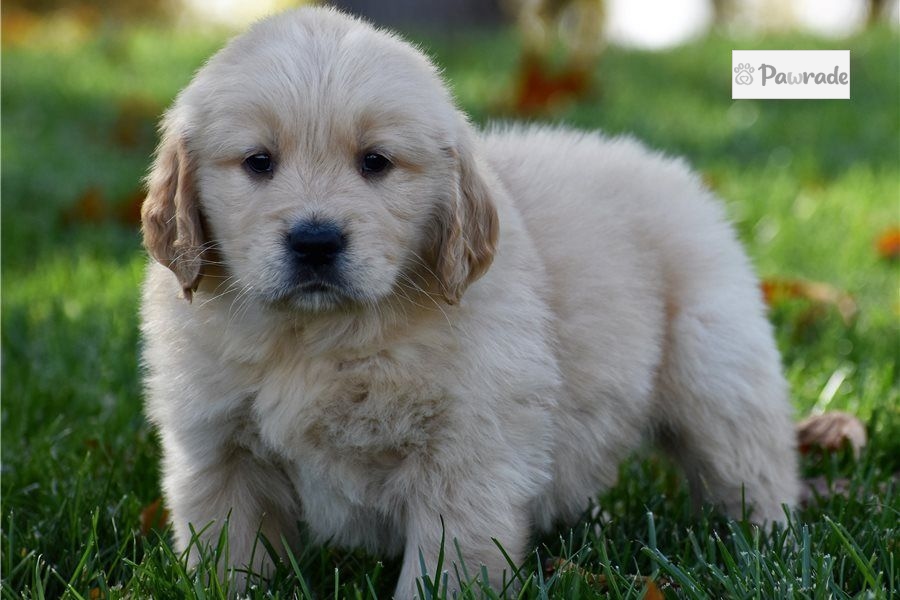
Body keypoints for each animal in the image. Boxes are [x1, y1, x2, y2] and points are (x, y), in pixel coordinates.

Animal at [141, 7, 800, 596]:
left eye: (375, 162)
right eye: (258, 162)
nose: (316, 240)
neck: (319, 337)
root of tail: (665, 167)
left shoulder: (467, 456)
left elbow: (446, 565)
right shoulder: (218, 451)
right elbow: (230, 555)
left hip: (714, 370)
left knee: (751, 463)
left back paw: (766, 544)